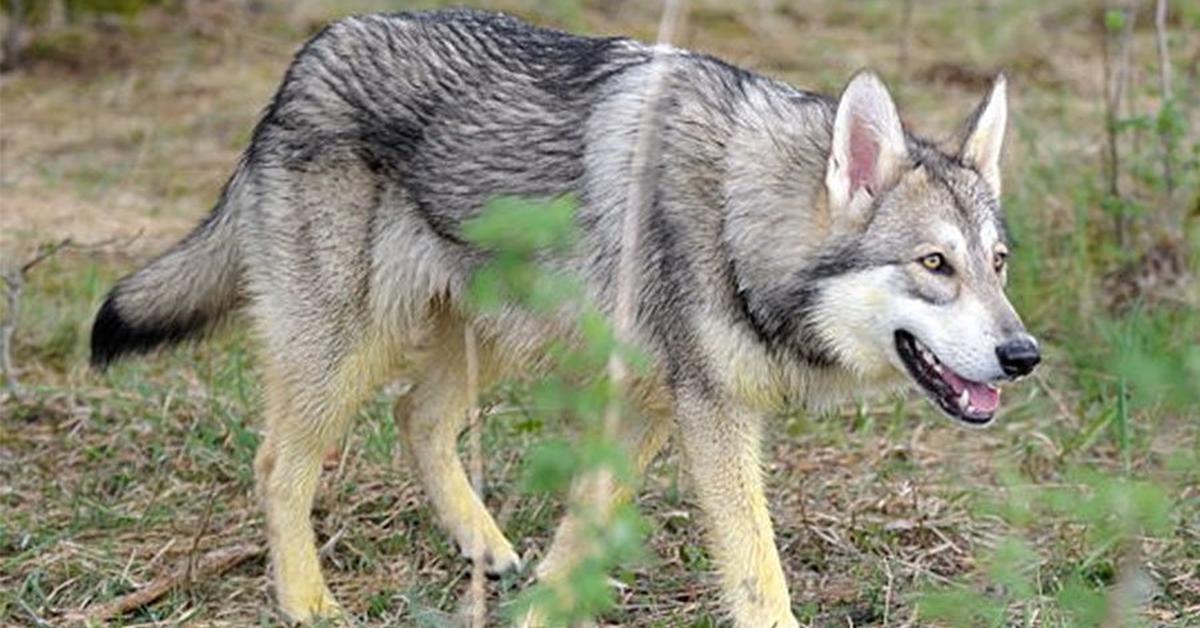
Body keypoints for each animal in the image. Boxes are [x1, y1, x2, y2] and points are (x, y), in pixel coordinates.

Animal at [88, 8, 1036, 624]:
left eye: (996, 265)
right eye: (934, 265)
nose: (1023, 354)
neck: (738, 219)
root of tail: (305, 58)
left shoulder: (653, 406)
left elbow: (581, 530)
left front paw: (544, 605)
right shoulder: (711, 416)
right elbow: (758, 575)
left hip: (485, 335)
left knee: (416, 415)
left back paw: (484, 549)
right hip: (348, 348)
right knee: (280, 462)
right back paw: (309, 603)